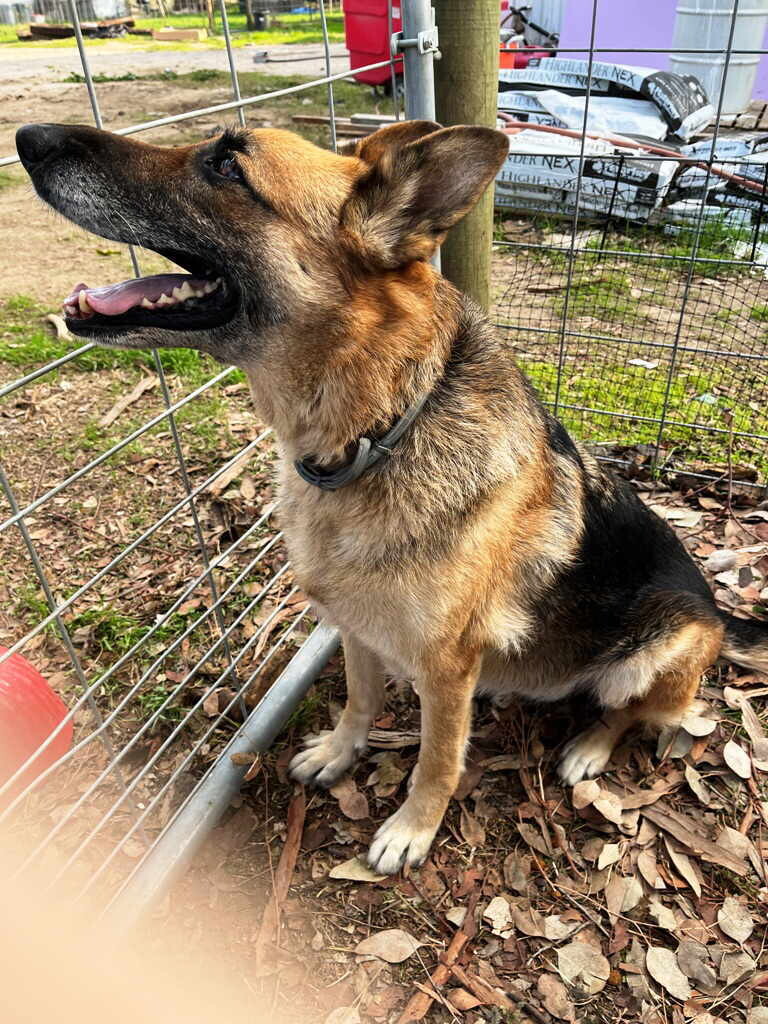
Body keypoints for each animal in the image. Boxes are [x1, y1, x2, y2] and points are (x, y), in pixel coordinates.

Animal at [18, 117, 768, 872]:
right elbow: (358, 699)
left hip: (650, 657)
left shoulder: (446, 668)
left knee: (637, 714)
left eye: (228, 165)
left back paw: (588, 747)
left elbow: (437, 758)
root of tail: (717, 614)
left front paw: (412, 827)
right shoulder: (352, 628)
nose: (29, 137)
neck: (376, 435)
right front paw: (341, 752)